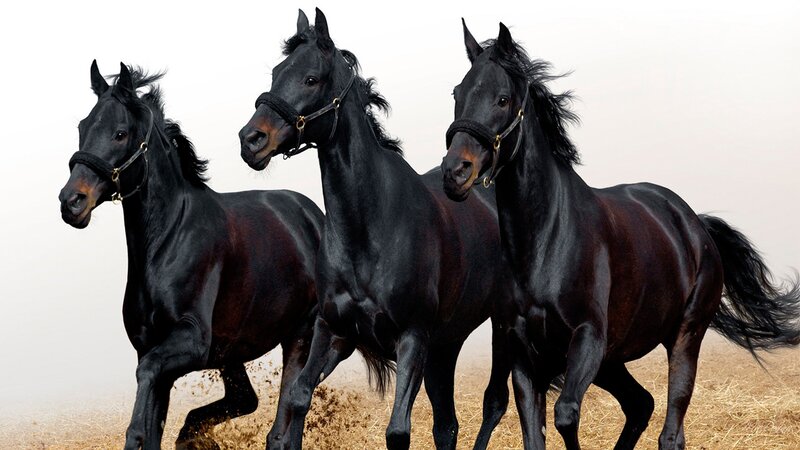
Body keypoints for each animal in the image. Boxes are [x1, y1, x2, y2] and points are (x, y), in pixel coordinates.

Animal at [58, 61, 324, 450]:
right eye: (82, 127)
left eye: (120, 133)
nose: (71, 201)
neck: (167, 242)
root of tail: (315, 217)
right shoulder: (154, 348)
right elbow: (155, 421)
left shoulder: (189, 342)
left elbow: (144, 398)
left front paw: (139, 435)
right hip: (233, 351)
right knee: (246, 399)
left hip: (300, 335)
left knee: (285, 424)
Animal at [238, 9, 514, 450]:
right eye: (277, 72)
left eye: (311, 78)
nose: (251, 140)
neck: (368, 232)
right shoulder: (334, 331)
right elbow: (298, 397)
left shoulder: (413, 339)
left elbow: (398, 429)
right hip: (445, 346)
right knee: (447, 425)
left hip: (497, 329)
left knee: (494, 404)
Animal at [440, 21, 800, 450]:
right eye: (457, 93)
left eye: (502, 98)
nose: (455, 172)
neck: (545, 243)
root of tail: (694, 224)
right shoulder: (525, 356)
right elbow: (535, 433)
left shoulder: (587, 341)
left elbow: (566, 415)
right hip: (613, 360)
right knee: (641, 404)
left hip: (684, 338)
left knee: (670, 429)